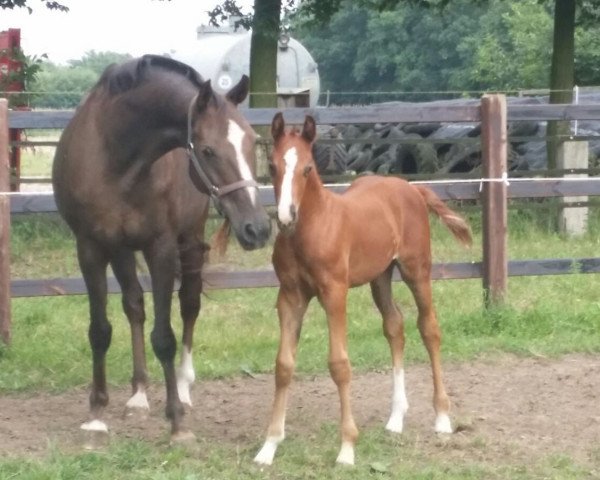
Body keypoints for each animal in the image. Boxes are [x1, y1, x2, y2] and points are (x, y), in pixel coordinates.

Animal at [51, 53, 272, 442]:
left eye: (250, 143)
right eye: (208, 150)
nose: (257, 229)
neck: (115, 158)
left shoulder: (162, 249)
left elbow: (165, 335)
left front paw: (177, 422)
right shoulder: (90, 247)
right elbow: (100, 330)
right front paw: (96, 412)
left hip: (189, 243)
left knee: (189, 306)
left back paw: (183, 388)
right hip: (122, 250)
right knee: (135, 306)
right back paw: (138, 394)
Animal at [255, 112, 472, 464]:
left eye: (308, 168)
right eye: (273, 167)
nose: (287, 217)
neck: (313, 227)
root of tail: (412, 188)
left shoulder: (334, 294)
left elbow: (339, 365)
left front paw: (347, 448)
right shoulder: (290, 296)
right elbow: (283, 365)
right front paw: (269, 446)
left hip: (416, 271)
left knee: (429, 328)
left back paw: (441, 417)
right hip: (380, 276)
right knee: (395, 326)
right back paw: (396, 418)